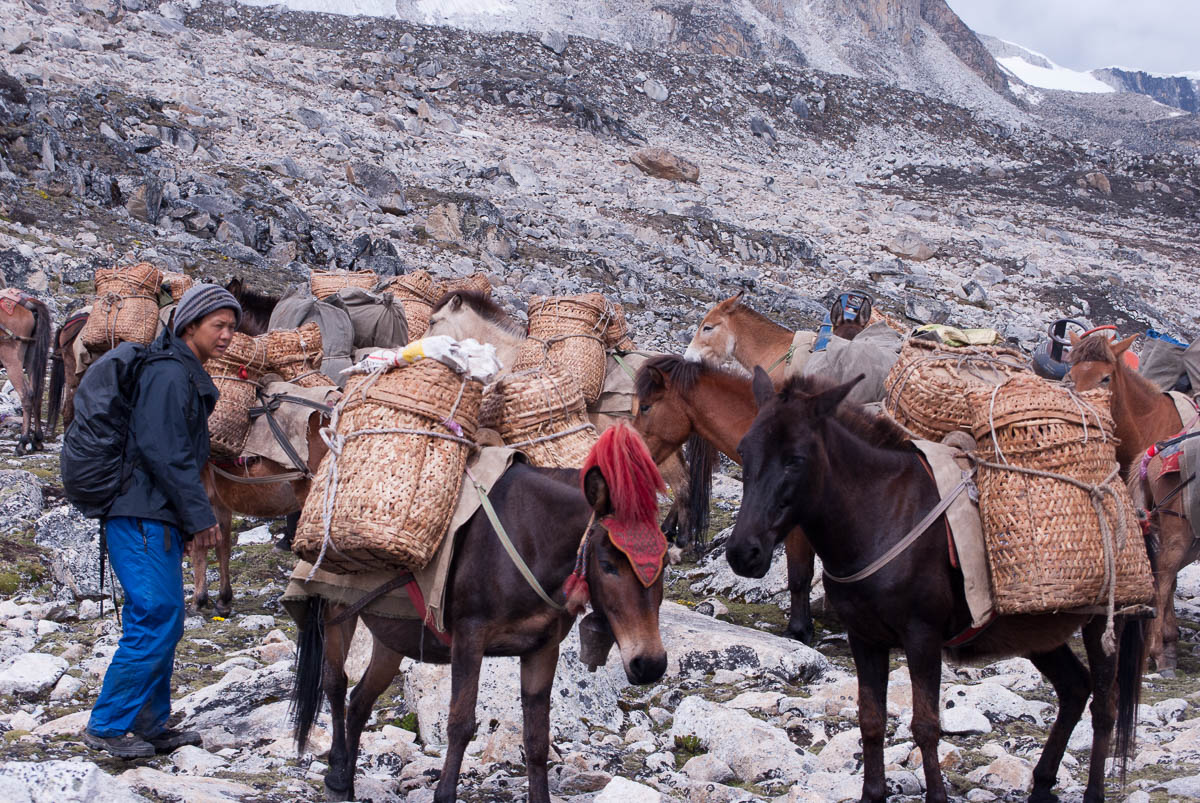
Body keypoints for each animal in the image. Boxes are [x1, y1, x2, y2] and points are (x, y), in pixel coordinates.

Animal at [0, 289, 52, 453]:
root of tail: (28, 304)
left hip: (12, 361)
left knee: (26, 394)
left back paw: (22, 442)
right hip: (32, 357)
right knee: (37, 392)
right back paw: (37, 440)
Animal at [286, 422, 672, 796]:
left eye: (667, 561)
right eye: (607, 565)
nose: (650, 665)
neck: (530, 539)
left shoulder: (542, 648)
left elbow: (537, 740)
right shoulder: (469, 638)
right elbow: (460, 724)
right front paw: (443, 795)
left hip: (391, 637)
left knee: (360, 700)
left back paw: (347, 780)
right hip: (335, 611)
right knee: (335, 684)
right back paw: (337, 777)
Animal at [724, 367, 1147, 801]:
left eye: (795, 460)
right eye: (743, 450)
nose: (743, 553)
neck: (880, 514)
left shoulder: (922, 637)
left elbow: (926, 725)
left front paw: (936, 795)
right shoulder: (865, 638)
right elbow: (871, 720)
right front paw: (872, 794)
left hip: (1104, 622)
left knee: (1104, 707)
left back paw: (1093, 792)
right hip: (1037, 632)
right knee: (1074, 688)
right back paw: (1042, 785)